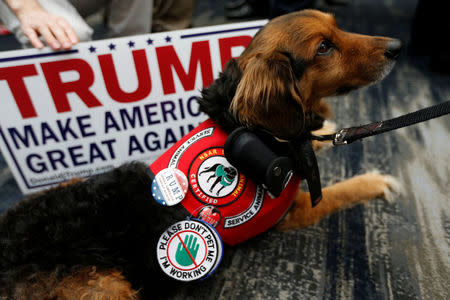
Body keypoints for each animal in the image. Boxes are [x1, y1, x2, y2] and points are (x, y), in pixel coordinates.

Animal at [0, 9, 400, 300]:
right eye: (323, 48)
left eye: (338, 27)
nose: (397, 46)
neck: (250, 124)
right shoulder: (291, 210)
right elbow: (339, 192)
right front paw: (375, 181)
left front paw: (324, 133)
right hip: (107, 286)